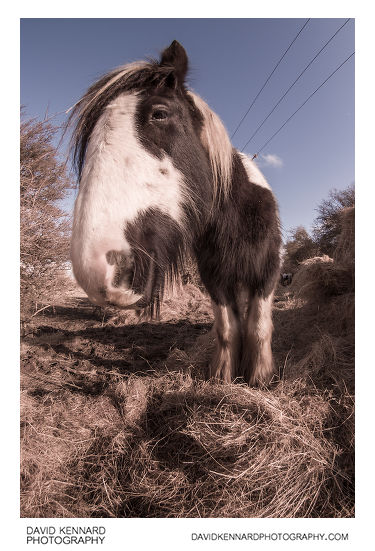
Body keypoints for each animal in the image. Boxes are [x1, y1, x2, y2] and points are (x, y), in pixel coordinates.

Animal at [70, 41, 282, 386]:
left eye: (159, 113)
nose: (99, 267)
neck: (235, 222)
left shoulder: (267, 273)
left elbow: (259, 326)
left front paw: (260, 379)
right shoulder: (215, 279)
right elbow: (228, 328)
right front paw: (223, 376)